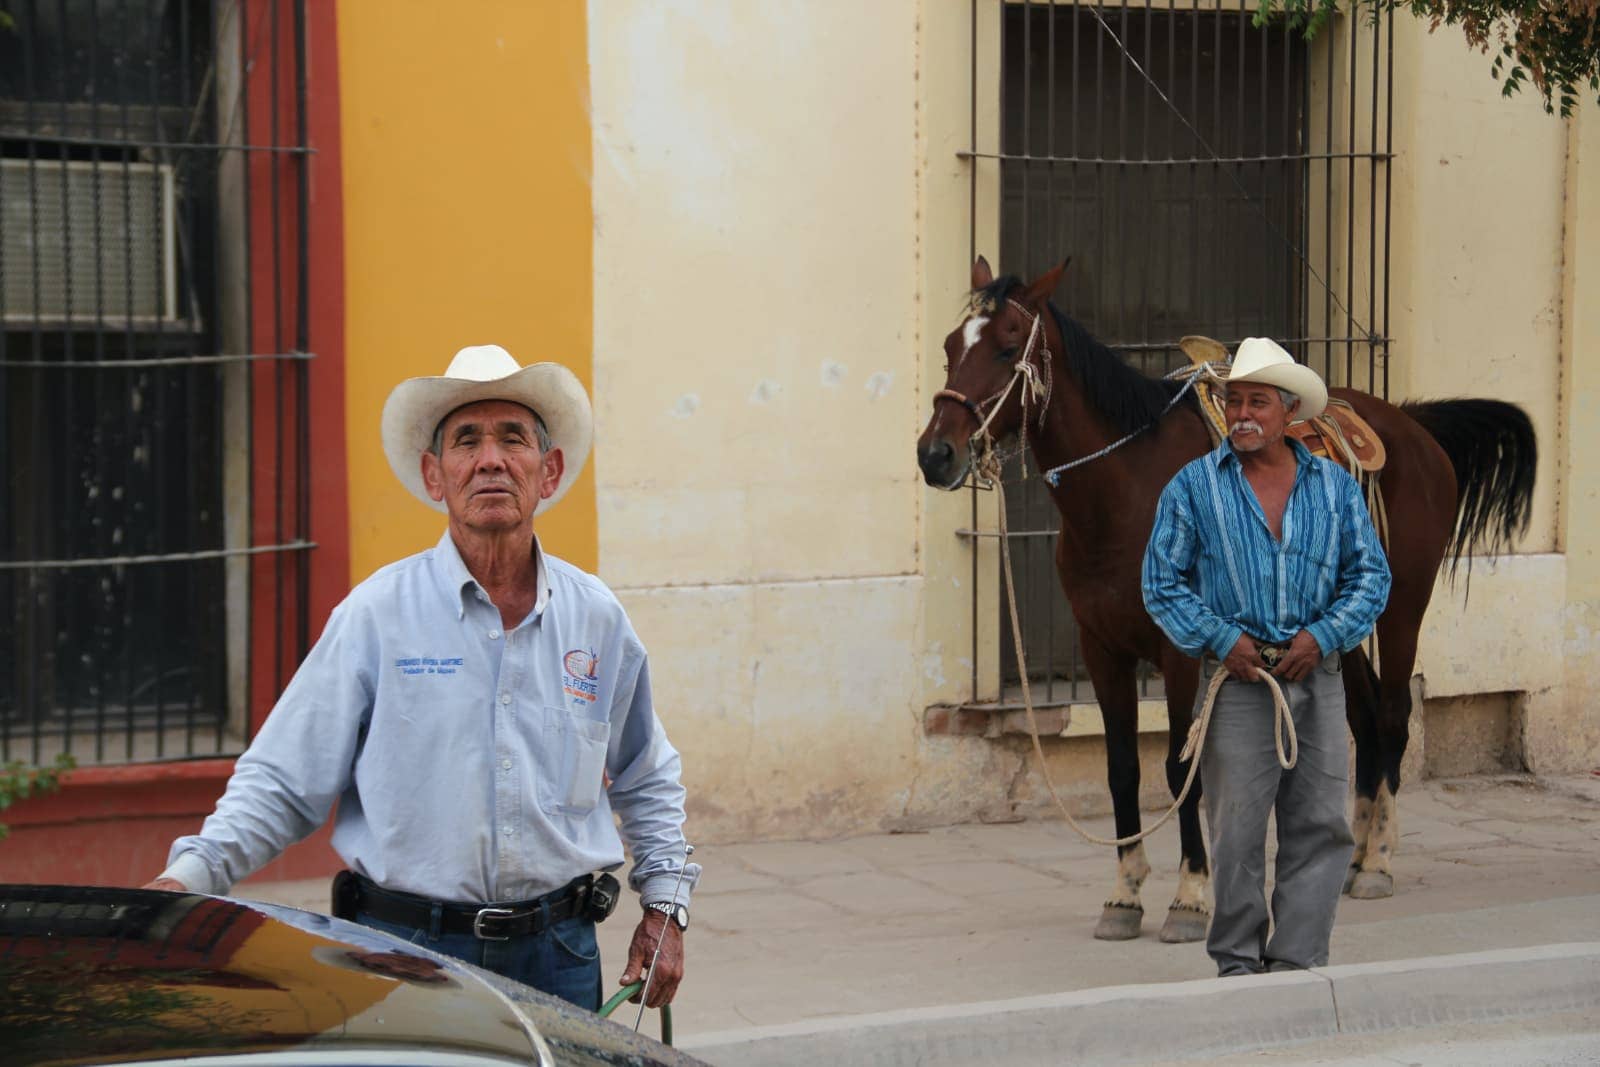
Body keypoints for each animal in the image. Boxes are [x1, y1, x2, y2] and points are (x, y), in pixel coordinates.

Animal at [928, 259, 1536, 940]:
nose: (935, 453)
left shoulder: (1179, 650)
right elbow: (1122, 769)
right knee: (1361, 716)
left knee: (1393, 714)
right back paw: (1350, 857)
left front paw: (1190, 896)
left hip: (1402, 605)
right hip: (1338, 626)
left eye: (1008, 347)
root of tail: (1415, 428)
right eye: (951, 347)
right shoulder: (1102, 648)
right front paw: (1124, 895)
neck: (1124, 492)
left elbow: (1179, 769)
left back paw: (1377, 860)